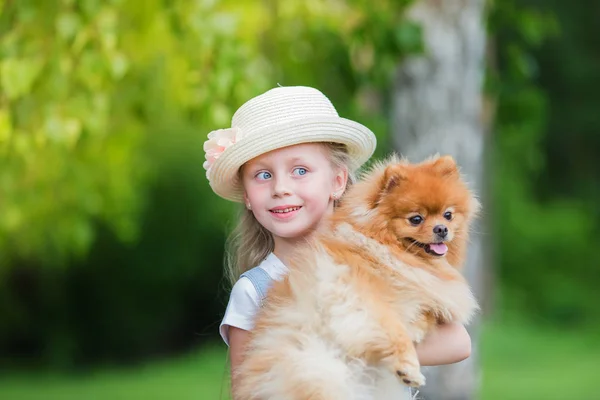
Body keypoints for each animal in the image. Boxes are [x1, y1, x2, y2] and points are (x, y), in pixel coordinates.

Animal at [232, 155, 480, 400]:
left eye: (448, 215)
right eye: (416, 219)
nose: (441, 229)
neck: (385, 251)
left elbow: (426, 313)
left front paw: (418, 326)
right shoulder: (357, 296)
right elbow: (394, 329)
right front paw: (408, 367)